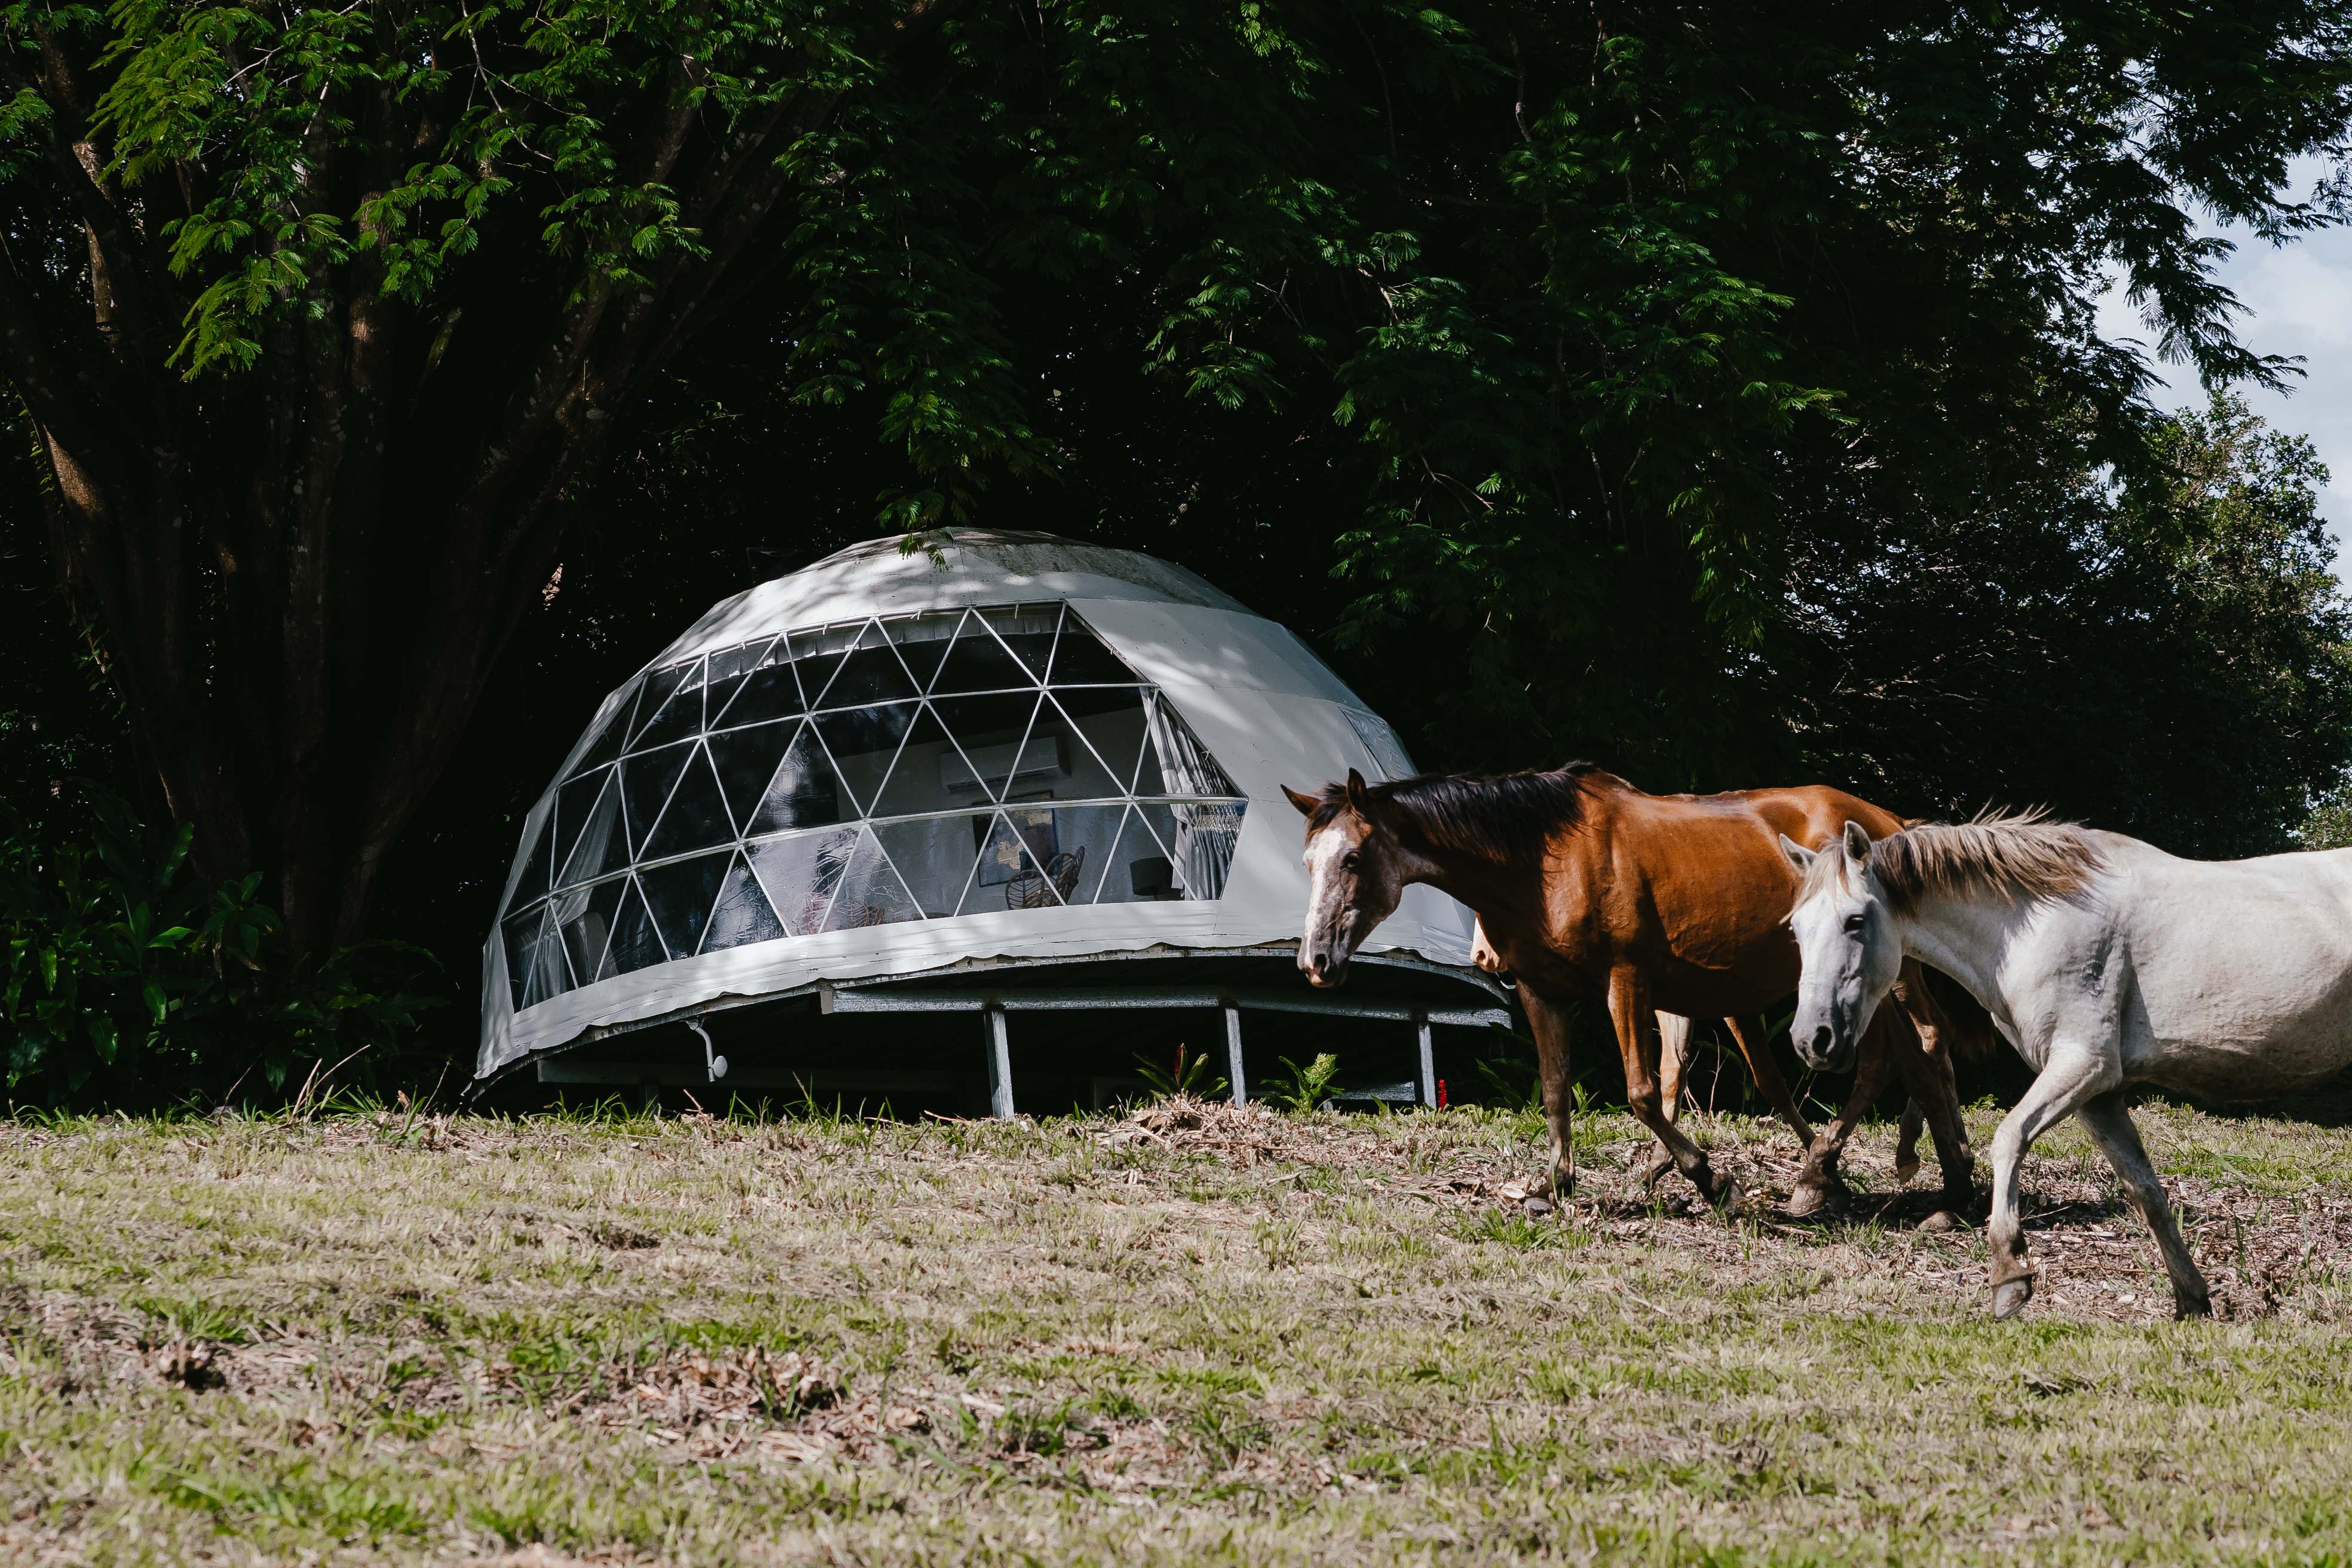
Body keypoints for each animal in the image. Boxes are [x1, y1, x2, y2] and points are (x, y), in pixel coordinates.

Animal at [1285, 765, 1982, 1213]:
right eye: (1308, 862)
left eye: (1353, 859)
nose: (1315, 961)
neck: (1544, 861)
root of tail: (1888, 817)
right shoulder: (1544, 992)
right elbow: (1556, 1091)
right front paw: (1553, 1185)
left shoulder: (1628, 982)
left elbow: (1643, 1092)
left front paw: (1711, 1179)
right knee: (1917, 1054)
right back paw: (1943, 1175)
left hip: (1879, 979)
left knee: (1902, 1056)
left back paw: (1832, 1174)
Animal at [1786, 812, 2352, 1319]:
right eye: (1796, 928)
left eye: (1855, 921)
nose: (1811, 1039)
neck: (2041, 922)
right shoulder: (2098, 1096)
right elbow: (2145, 1192)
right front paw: (2191, 1302)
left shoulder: (2084, 1066)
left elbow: (2008, 1138)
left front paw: (2010, 1275)